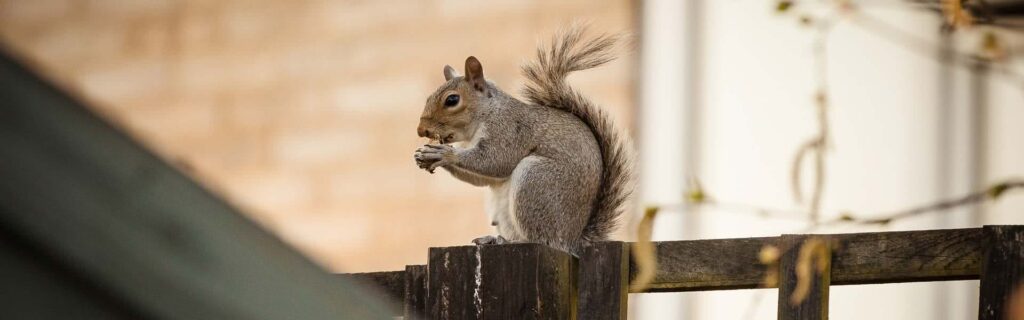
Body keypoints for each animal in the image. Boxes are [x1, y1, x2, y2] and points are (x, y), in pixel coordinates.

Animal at [411, 25, 626, 255]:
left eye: (452, 100)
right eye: (428, 98)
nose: (421, 130)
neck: (486, 114)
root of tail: (573, 240)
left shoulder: (509, 130)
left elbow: (495, 160)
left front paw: (444, 154)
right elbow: (482, 178)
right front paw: (425, 155)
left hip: (536, 181)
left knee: (542, 239)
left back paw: (510, 241)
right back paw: (495, 238)